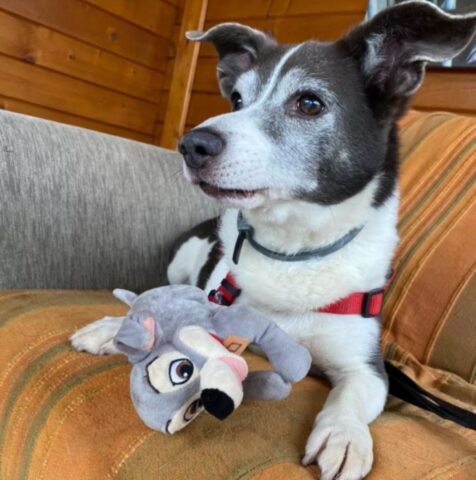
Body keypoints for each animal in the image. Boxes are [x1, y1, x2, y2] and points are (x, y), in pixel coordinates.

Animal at [71, 3, 476, 480]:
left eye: (310, 103)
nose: (191, 144)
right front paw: (120, 328)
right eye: (237, 100)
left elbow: (351, 395)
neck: (294, 252)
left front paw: (344, 435)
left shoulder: (368, 367)